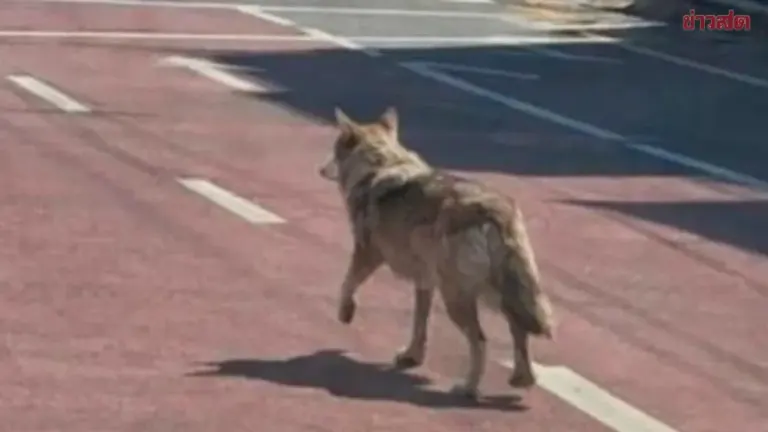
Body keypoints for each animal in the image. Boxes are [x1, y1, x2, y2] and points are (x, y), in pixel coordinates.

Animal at [318, 106, 555, 398]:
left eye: (334, 150)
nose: (319, 169)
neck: (380, 164)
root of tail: (496, 212)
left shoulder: (367, 254)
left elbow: (347, 284)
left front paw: (345, 313)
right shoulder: (424, 282)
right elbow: (420, 324)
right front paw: (412, 356)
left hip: (457, 298)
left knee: (481, 341)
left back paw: (468, 388)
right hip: (495, 293)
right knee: (518, 329)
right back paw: (522, 379)